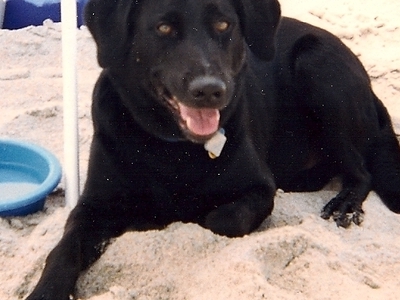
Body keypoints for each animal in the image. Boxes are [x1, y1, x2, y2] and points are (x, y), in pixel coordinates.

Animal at [25, 0, 400, 300]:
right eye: (163, 27)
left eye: (223, 25)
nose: (209, 90)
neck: (172, 148)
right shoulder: (92, 207)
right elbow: (63, 250)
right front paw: (44, 290)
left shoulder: (259, 189)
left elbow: (220, 218)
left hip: (317, 66)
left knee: (361, 171)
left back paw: (345, 203)